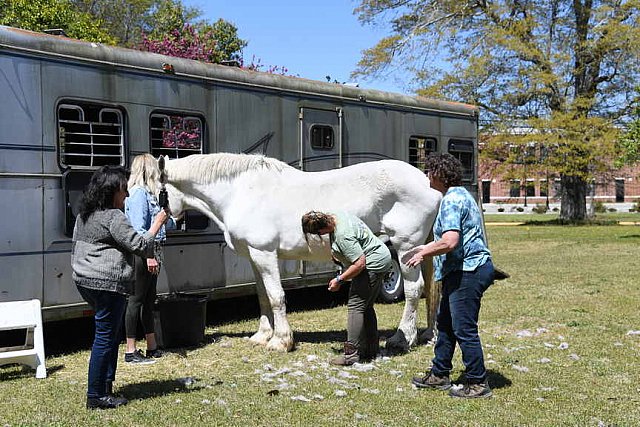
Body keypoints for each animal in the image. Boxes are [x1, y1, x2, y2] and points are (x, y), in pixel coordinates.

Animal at [158, 152, 442, 352]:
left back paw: (402, 339)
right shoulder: (254, 257)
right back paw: (428, 335)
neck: (241, 192)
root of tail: (427, 183)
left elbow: (276, 297)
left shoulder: (265, 254)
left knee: (414, 290)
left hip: (406, 249)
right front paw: (262, 336)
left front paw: (281, 341)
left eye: (156, 190)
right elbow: (262, 297)